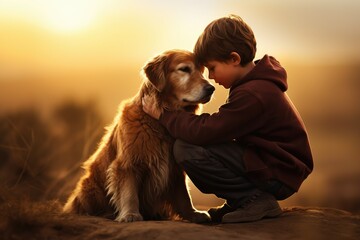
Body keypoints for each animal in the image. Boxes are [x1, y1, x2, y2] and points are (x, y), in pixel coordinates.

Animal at [62, 49, 215, 223]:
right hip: (90, 188)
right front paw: (130, 214)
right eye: (184, 69)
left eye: (202, 71)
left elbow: (183, 196)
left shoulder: (174, 169)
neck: (158, 124)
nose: (211, 88)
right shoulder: (128, 163)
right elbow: (129, 193)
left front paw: (193, 213)